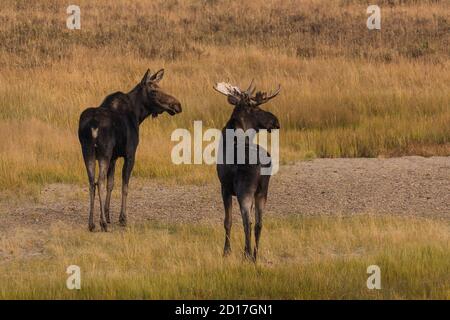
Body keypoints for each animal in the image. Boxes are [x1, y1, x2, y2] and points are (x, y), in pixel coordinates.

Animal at [78, 69, 182, 231]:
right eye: (154, 91)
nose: (177, 105)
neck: (139, 115)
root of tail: (93, 125)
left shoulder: (114, 157)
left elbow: (111, 184)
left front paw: (107, 215)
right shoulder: (130, 154)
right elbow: (125, 186)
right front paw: (122, 218)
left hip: (87, 151)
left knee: (91, 183)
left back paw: (91, 223)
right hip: (103, 153)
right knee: (99, 181)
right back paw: (102, 223)